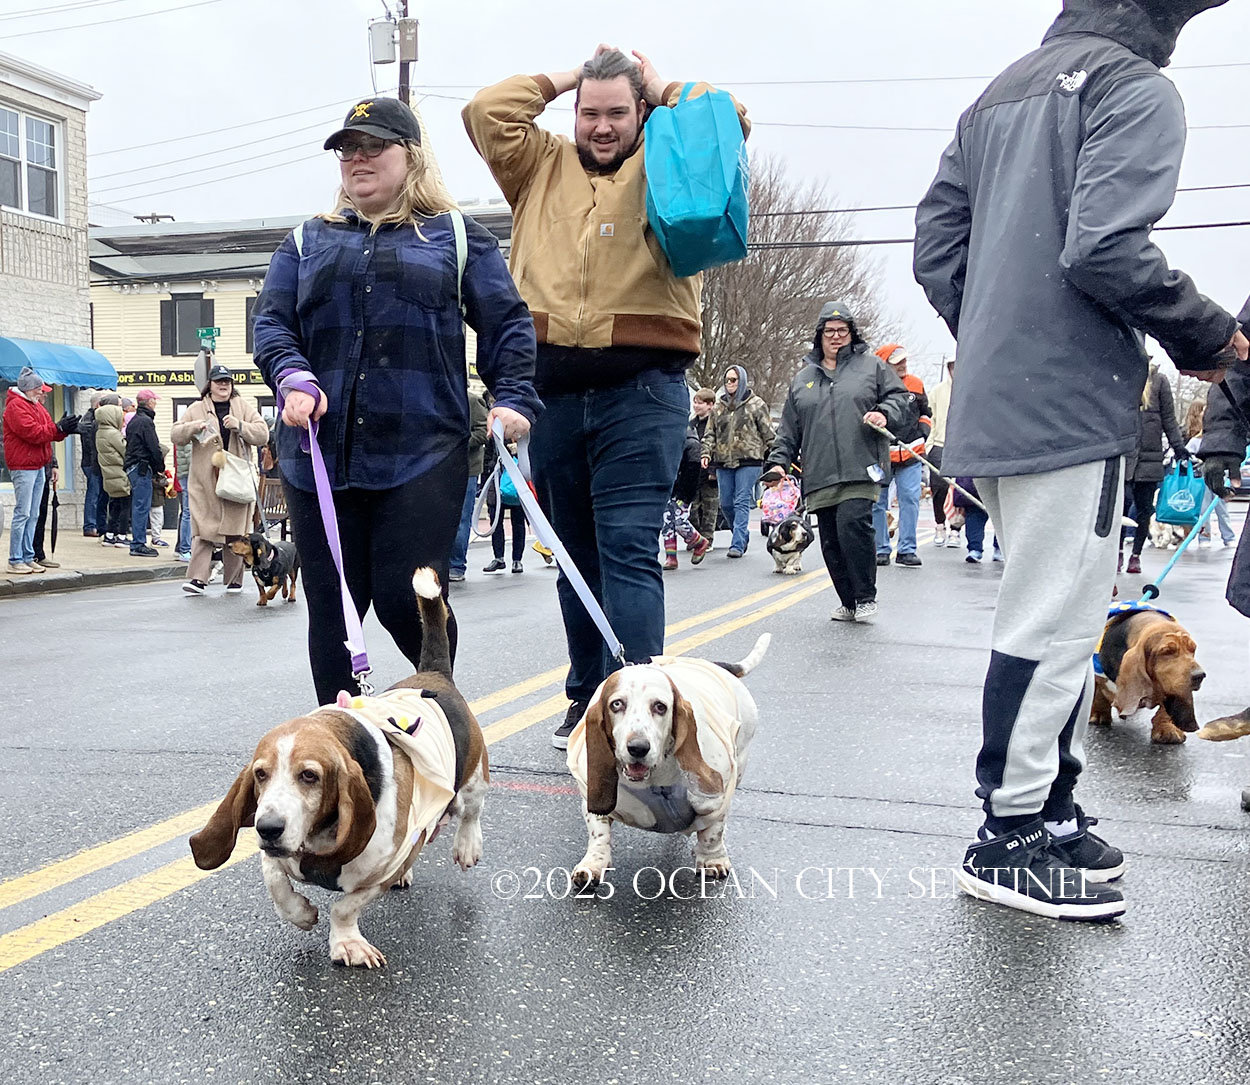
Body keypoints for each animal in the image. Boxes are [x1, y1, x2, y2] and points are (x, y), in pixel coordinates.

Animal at [189, 569, 489, 968]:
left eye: (310, 775)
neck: (318, 836)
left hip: (473, 781)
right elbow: (275, 880)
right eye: (260, 774)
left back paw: (467, 845)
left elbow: (345, 907)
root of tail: (433, 675)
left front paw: (347, 943)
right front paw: (300, 913)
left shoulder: (379, 872)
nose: (268, 828)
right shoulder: (276, 856)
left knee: (471, 812)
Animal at [566, 634, 769, 887]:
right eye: (616, 704)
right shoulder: (592, 795)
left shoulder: (715, 800)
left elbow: (713, 832)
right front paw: (593, 864)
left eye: (660, 707)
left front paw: (712, 859)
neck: (655, 779)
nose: (638, 748)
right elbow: (599, 832)